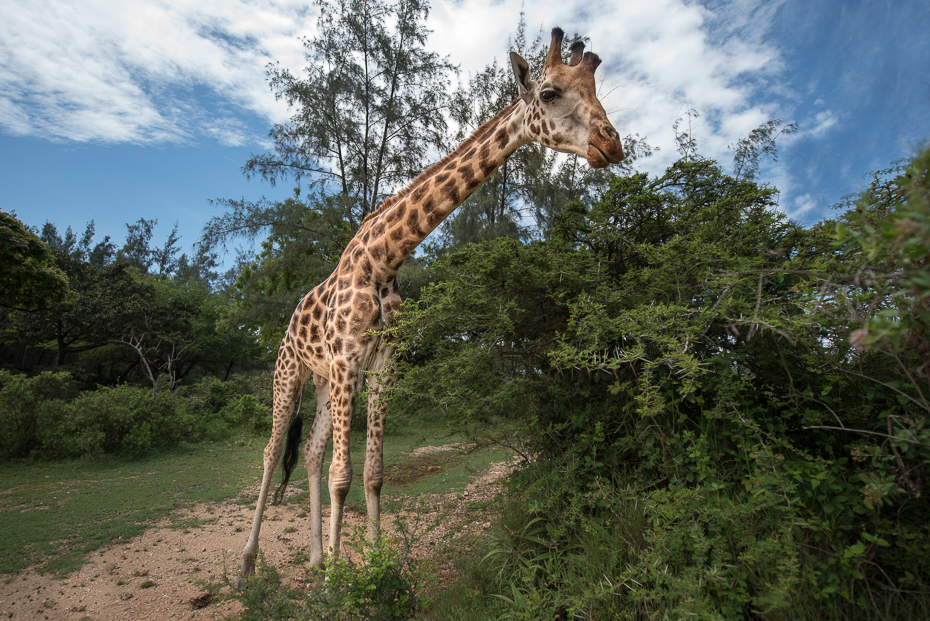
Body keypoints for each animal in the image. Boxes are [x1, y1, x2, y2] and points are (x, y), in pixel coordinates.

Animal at [239, 25, 624, 576]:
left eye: (595, 92)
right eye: (549, 93)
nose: (611, 143)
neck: (383, 260)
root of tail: (291, 320)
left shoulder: (381, 365)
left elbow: (373, 472)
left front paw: (373, 567)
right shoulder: (349, 360)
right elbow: (342, 474)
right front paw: (342, 582)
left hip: (323, 381)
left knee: (309, 452)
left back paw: (314, 559)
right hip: (289, 371)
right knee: (273, 451)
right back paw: (249, 564)